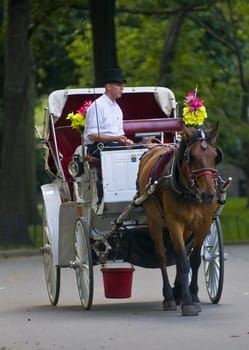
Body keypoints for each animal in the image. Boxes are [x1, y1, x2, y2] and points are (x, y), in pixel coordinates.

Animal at [137, 123, 221, 318]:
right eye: (192, 157)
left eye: (215, 156)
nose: (208, 194)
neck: (190, 192)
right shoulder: (174, 223)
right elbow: (183, 261)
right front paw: (188, 303)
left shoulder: (204, 223)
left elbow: (194, 259)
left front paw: (193, 297)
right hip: (154, 221)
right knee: (161, 255)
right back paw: (169, 296)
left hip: (188, 228)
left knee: (178, 254)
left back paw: (178, 293)